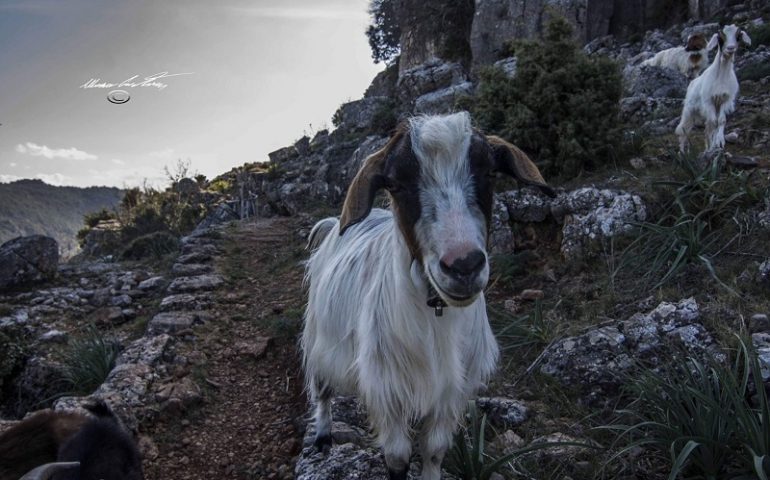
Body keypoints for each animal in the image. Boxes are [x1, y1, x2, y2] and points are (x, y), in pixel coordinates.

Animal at [300, 112, 552, 480]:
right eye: (395, 183)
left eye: (489, 172)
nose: (463, 265)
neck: (437, 316)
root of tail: (333, 226)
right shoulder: (389, 391)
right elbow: (398, 458)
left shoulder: (450, 393)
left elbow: (434, 451)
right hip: (319, 337)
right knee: (322, 387)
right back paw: (322, 436)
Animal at [672, 24, 752, 152]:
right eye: (720, 37)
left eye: (738, 36)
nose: (730, 48)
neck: (721, 76)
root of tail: (693, 81)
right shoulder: (708, 101)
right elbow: (714, 123)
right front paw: (713, 146)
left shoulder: (725, 100)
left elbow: (720, 121)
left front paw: (718, 143)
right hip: (689, 109)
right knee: (684, 128)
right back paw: (682, 151)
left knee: (707, 128)